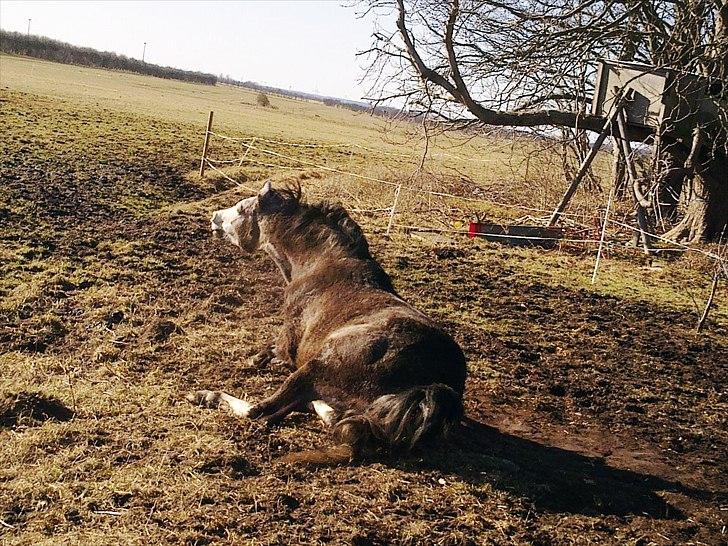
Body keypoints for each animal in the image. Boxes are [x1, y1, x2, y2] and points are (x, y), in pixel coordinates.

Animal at [189, 181, 466, 462]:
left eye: (241, 209)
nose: (214, 218)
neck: (319, 267)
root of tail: (434, 383)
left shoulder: (289, 346)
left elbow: (270, 354)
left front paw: (257, 361)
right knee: (328, 416)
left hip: (314, 368)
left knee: (261, 412)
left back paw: (205, 395)